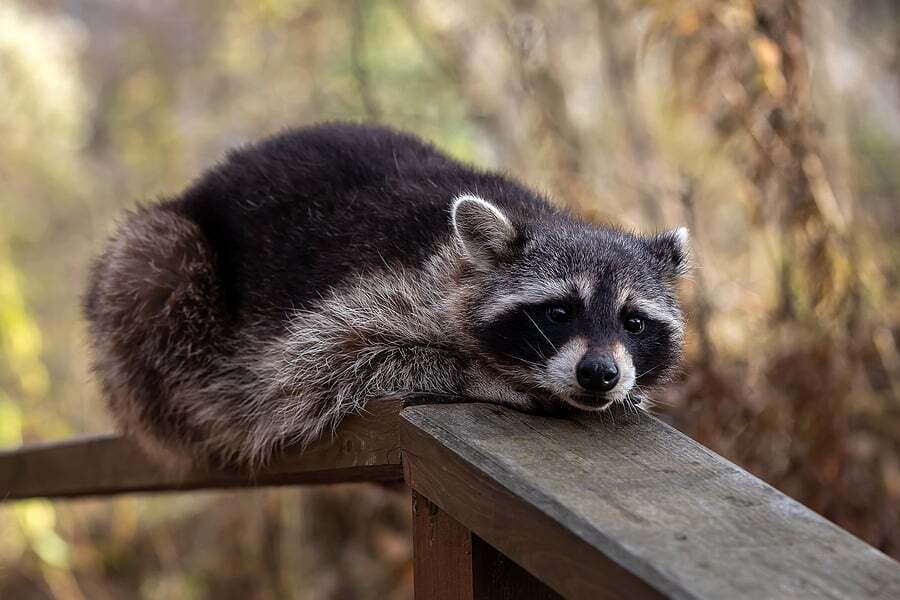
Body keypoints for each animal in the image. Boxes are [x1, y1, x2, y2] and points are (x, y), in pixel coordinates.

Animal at [84, 122, 689, 469]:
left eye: (634, 322)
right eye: (559, 312)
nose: (600, 374)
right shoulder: (382, 289)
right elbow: (313, 365)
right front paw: (479, 375)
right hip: (154, 276)